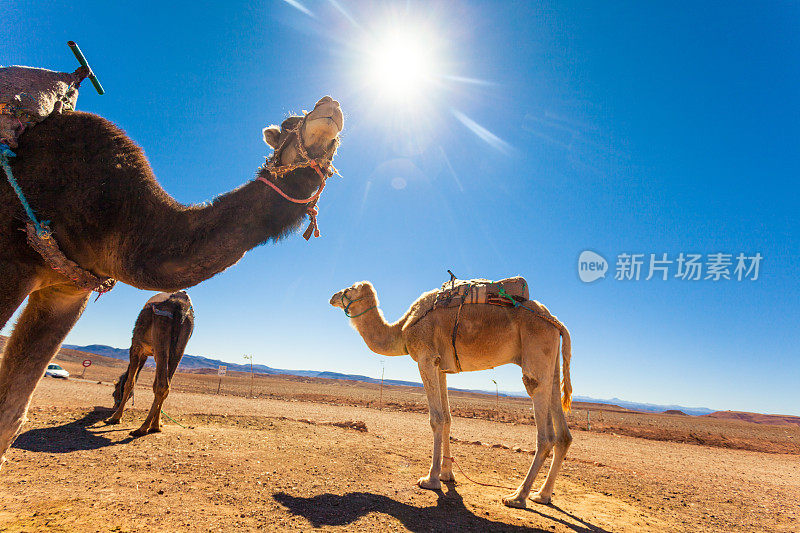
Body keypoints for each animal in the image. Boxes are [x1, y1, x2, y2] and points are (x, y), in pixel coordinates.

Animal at [108, 290, 195, 436]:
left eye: (114, 393)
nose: (113, 406)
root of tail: (180, 307)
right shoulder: (147, 354)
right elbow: (152, 384)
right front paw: (159, 423)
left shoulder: (136, 348)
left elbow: (129, 383)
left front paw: (116, 417)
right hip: (180, 345)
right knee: (166, 386)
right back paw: (155, 426)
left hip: (161, 334)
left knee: (162, 384)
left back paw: (142, 428)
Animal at [328, 278, 572, 508]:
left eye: (348, 289)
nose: (332, 296)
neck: (402, 329)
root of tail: (557, 323)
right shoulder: (441, 366)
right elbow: (447, 419)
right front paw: (447, 474)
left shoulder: (425, 358)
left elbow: (436, 419)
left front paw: (430, 479)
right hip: (551, 363)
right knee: (563, 433)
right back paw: (542, 495)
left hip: (536, 353)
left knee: (545, 433)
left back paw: (517, 497)